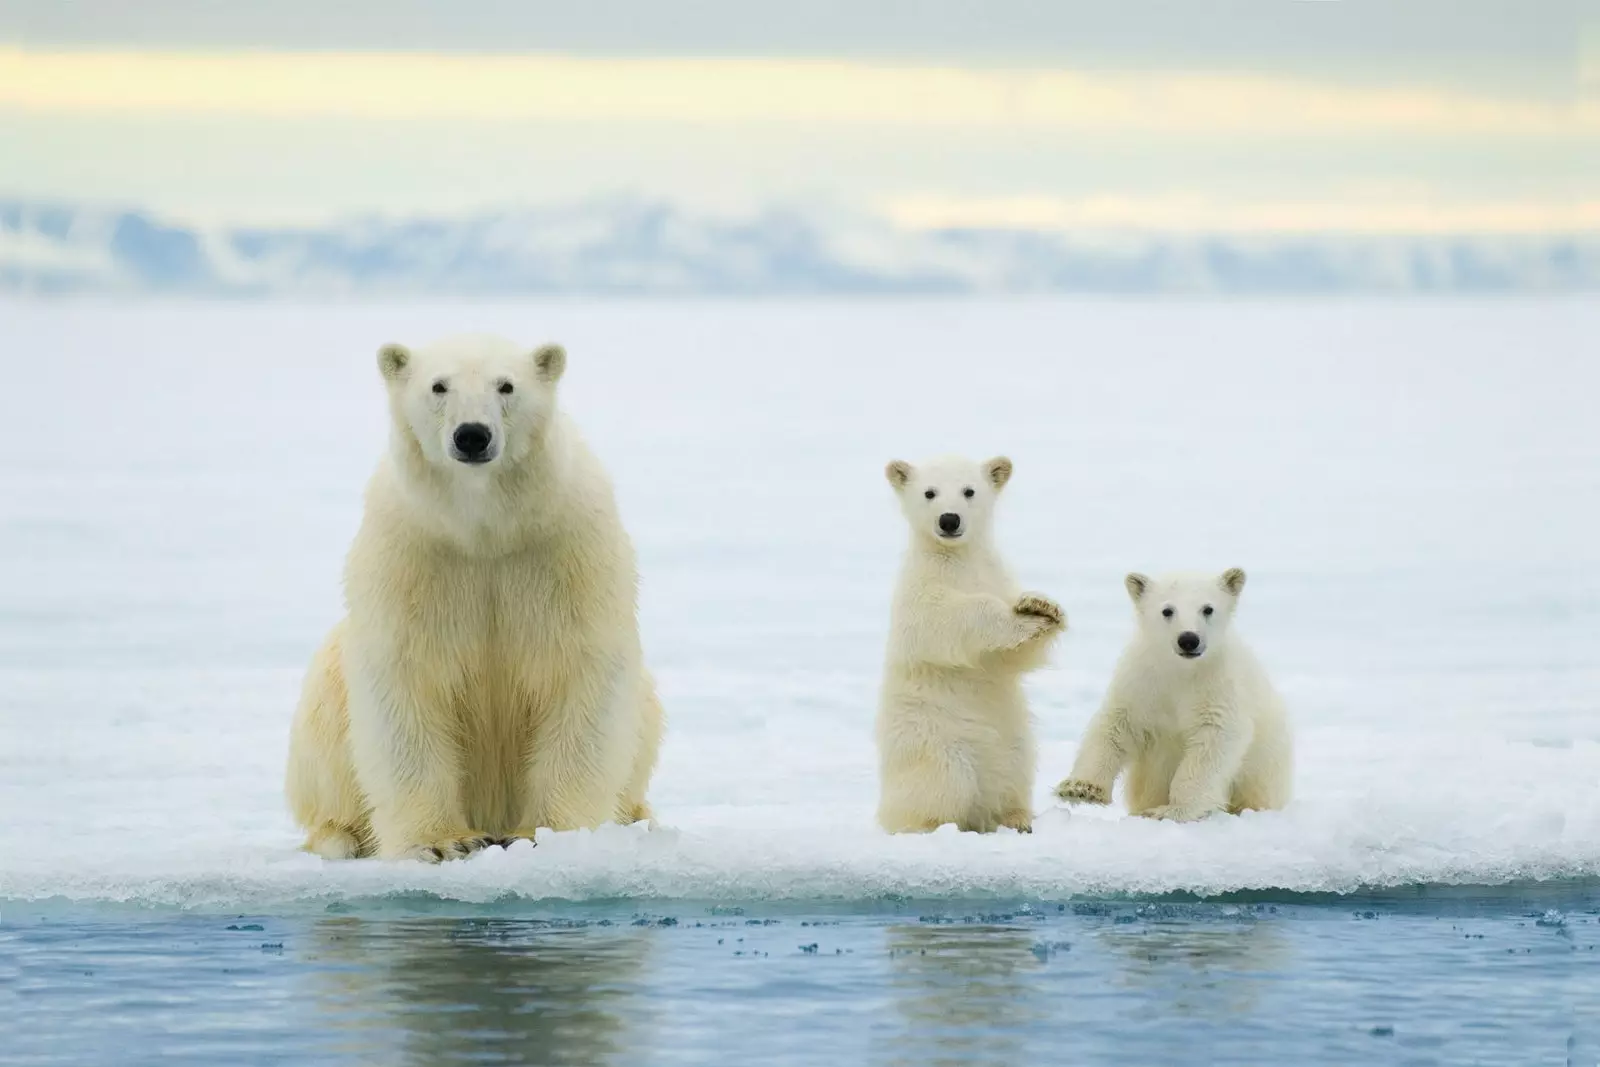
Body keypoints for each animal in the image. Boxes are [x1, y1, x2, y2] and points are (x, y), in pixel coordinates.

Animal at [288, 334, 662, 857]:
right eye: (438, 386)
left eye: (506, 385)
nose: (472, 435)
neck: (484, 530)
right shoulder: (412, 558)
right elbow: (405, 684)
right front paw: (442, 843)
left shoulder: (566, 553)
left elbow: (581, 675)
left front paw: (547, 835)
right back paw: (339, 836)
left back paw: (638, 818)